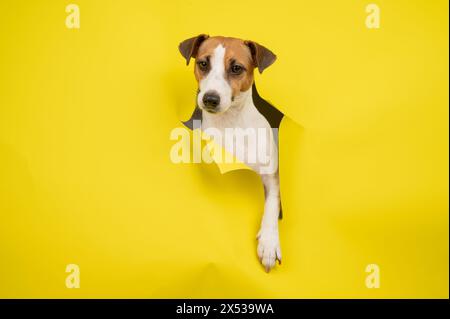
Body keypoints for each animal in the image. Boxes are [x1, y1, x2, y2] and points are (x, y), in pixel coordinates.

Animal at [179, 35, 282, 276]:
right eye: (203, 64)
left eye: (236, 68)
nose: (210, 99)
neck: (230, 124)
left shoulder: (271, 176)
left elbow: (271, 207)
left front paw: (269, 243)